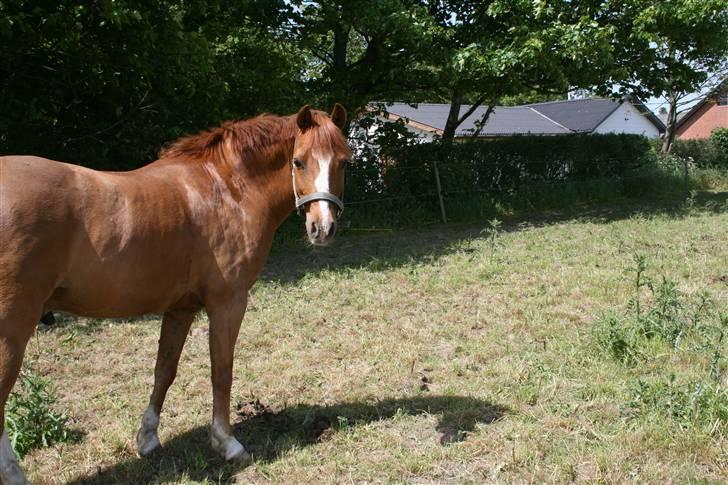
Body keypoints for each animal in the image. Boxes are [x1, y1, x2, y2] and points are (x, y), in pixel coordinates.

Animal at [0, 104, 350, 482]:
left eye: (343, 162)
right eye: (298, 161)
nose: (322, 228)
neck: (227, 189)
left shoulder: (181, 309)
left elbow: (164, 371)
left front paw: (148, 439)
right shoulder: (228, 303)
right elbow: (221, 370)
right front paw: (227, 443)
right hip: (11, 335)